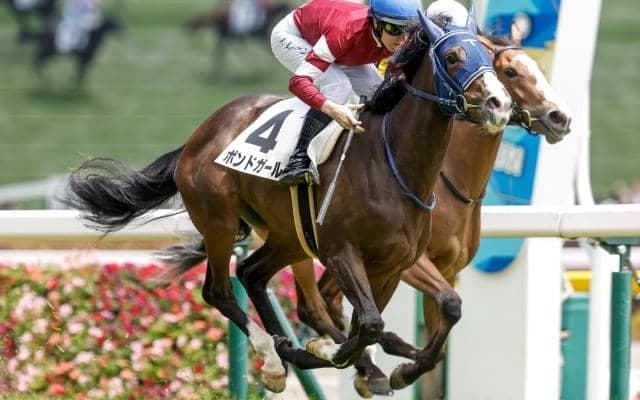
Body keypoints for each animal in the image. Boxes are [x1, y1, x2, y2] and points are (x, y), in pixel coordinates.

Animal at [65, 8, 512, 393]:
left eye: (487, 58)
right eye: (453, 57)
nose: (500, 104)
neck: (394, 164)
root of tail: (199, 136)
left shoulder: (392, 265)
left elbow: (414, 318)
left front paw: (399, 367)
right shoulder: (341, 251)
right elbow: (368, 324)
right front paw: (338, 353)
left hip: (290, 236)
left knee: (252, 274)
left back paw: (292, 350)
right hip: (219, 219)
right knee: (219, 291)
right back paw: (277, 357)